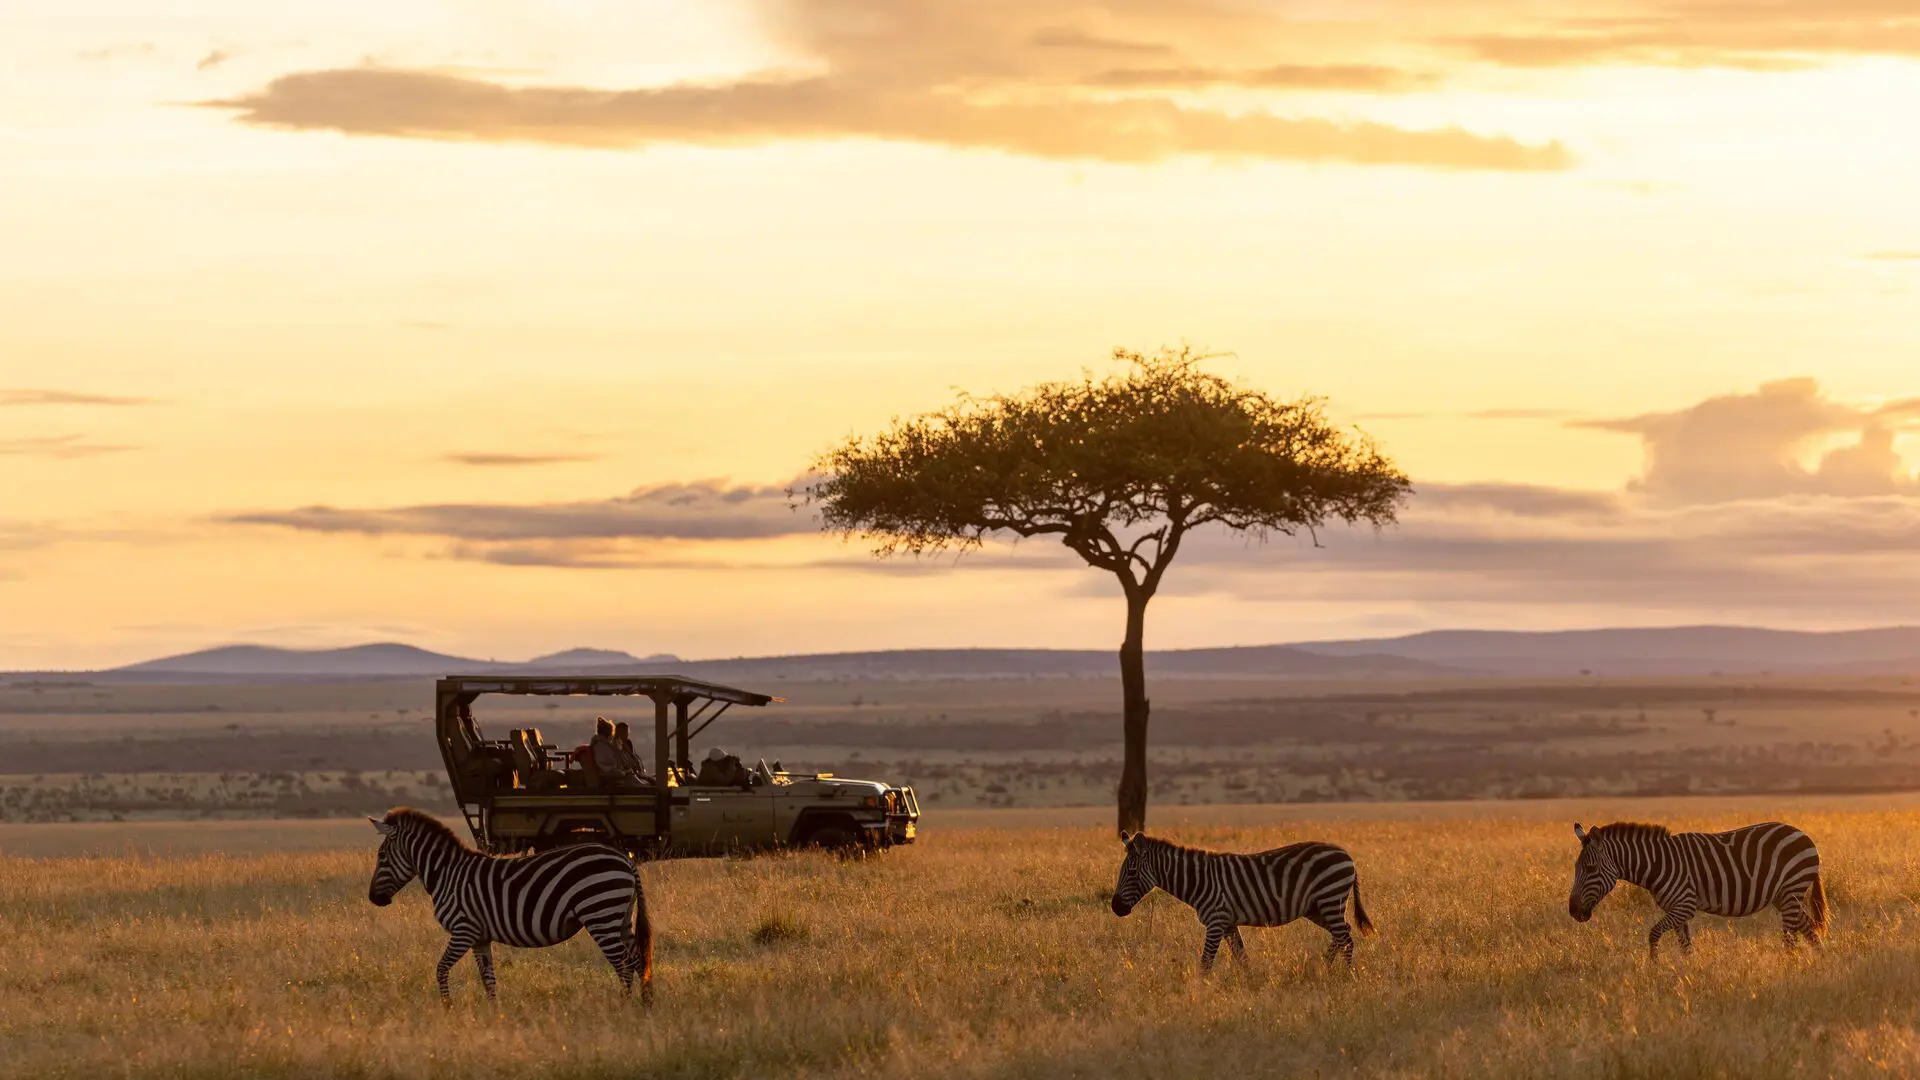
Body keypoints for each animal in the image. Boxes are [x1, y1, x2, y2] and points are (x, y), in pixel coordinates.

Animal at [367, 807, 653, 1005]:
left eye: (381, 856)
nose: (373, 899)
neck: (448, 875)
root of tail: (625, 860)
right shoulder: (480, 937)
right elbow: (488, 979)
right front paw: (495, 1015)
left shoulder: (464, 929)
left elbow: (441, 969)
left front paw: (448, 1007)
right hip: (620, 917)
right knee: (638, 960)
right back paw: (644, 1007)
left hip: (600, 913)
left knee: (624, 964)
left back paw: (621, 1008)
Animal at [1110, 831, 1375, 972]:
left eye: (1131, 872)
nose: (1115, 907)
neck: (1198, 880)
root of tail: (1346, 855)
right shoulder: (1228, 923)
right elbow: (1242, 958)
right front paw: (1251, 984)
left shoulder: (1216, 922)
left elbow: (1206, 963)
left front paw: (1201, 993)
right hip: (1318, 908)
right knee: (1342, 933)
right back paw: (1324, 968)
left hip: (1330, 899)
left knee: (1345, 937)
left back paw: (1341, 974)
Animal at [1567, 820, 1827, 957]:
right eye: (1575, 868)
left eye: (1590, 868)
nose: (1573, 911)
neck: (1658, 863)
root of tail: (1803, 834)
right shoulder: (1676, 909)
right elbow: (1685, 946)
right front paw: (1687, 974)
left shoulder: (1685, 905)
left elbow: (1653, 934)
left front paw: (1654, 968)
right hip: (1783, 896)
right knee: (1809, 928)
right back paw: (1817, 964)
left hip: (1792, 889)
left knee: (1791, 936)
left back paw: (1790, 965)